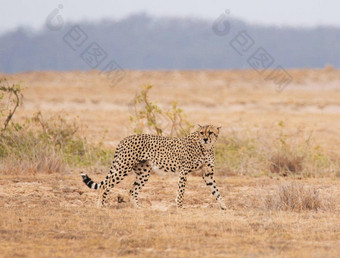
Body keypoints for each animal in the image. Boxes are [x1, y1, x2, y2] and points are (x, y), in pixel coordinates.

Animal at [81, 125, 227, 210]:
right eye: (202, 132)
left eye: (211, 133)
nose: (205, 139)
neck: (206, 148)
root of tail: (125, 139)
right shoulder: (184, 171)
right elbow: (181, 191)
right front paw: (180, 206)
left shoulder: (207, 174)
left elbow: (216, 191)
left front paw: (224, 206)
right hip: (123, 167)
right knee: (106, 185)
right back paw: (100, 206)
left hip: (144, 172)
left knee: (132, 190)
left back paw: (138, 208)